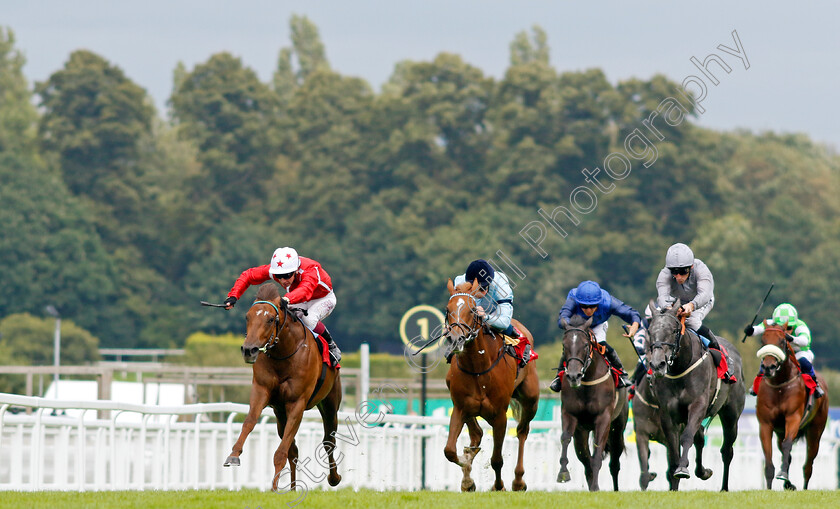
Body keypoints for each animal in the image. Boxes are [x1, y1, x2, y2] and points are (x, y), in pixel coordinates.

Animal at [223, 284, 344, 490]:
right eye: (247, 317)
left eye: (271, 319)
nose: (249, 350)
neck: (284, 354)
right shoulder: (262, 391)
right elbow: (250, 421)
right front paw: (233, 455)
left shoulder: (297, 403)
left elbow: (281, 451)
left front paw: (273, 488)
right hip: (280, 414)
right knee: (293, 450)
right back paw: (293, 488)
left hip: (330, 404)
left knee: (329, 441)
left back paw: (334, 478)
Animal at [442, 280, 540, 490]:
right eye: (447, 309)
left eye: (472, 310)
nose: (455, 339)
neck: (478, 367)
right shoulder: (460, 407)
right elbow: (450, 451)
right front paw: (467, 468)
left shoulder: (500, 415)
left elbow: (497, 459)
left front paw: (498, 485)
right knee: (476, 433)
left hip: (531, 400)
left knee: (522, 432)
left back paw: (518, 481)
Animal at [556, 316, 628, 490]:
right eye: (564, 346)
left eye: (585, 345)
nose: (573, 376)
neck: (587, 382)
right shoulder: (569, 413)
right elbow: (565, 438)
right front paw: (563, 473)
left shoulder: (604, 418)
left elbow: (597, 451)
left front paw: (596, 486)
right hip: (582, 432)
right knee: (585, 460)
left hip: (617, 429)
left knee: (614, 464)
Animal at [648, 300, 744, 490]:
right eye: (650, 331)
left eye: (674, 330)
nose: (657, 364)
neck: (680, 368)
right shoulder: (667, 414)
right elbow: (673, 449)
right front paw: (675, 482)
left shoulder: (697, 406)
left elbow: (687, 437)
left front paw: (683, 469)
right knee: (700, 438)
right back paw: (703, 472)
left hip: (731, 415)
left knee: (726, 451)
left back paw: (724, 487)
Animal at [756, 322, 828, 488]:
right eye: (763, 341)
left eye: (782, 341)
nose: (768, 367)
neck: (780, 385)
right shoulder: (765, 424)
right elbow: (769, 461)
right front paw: (770, 488)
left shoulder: (793, 417)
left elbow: (787, 445)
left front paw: (782, 475)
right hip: (780, 432)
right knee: (786, 454)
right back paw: (789, 484)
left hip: (815, 431)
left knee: (808, 466)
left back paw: (803, 486)